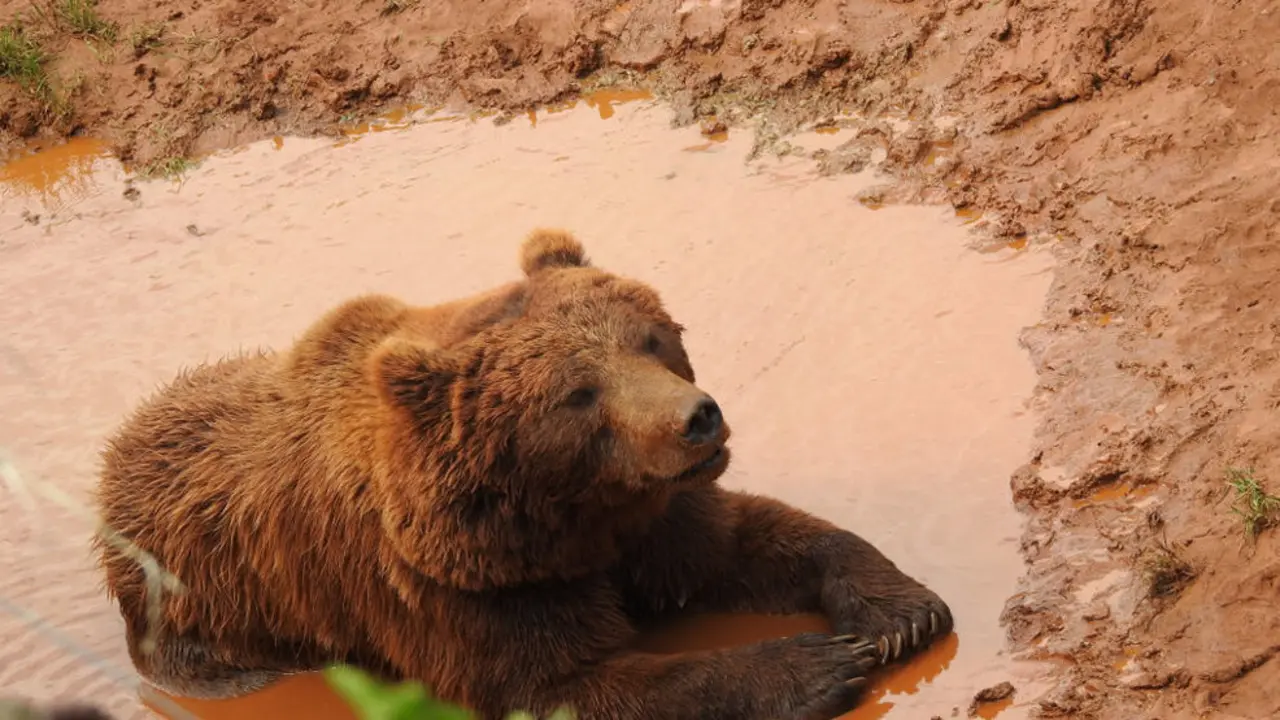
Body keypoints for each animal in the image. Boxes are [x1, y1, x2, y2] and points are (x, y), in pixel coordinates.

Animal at [93, 229, 953, 720]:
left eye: (650, 339)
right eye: (578, 393)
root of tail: (116, 450)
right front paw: (816, 664)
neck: (567, 517)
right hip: (201, 603)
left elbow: (747, 539)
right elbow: (568, 686)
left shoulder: (648, 515)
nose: (698, 417)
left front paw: (898, 613)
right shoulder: (455, 590)